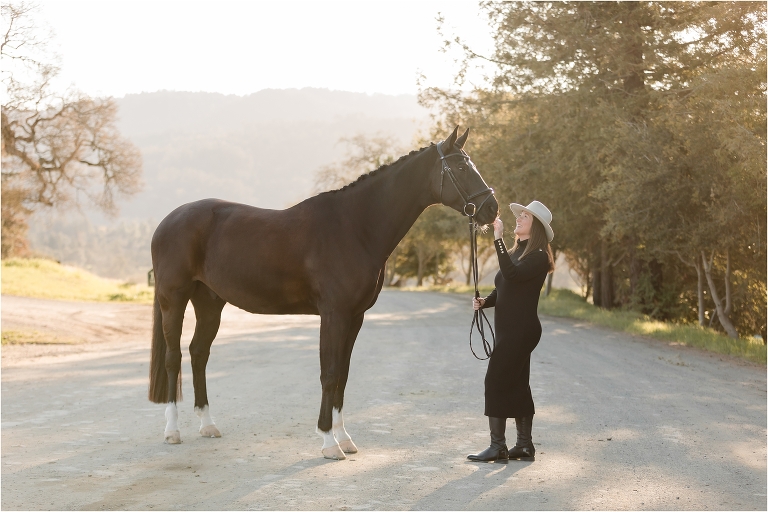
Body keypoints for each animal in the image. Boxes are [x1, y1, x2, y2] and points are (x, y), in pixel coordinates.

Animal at [147, 126, 498, 459]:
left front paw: (344, 438)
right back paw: (172, 431)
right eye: (461, 167)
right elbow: (329, 374)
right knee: (173, 358)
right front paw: (329, 443)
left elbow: (342, 375)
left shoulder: (354, 318)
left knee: (198, 354)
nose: (491, 209)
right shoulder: (334, 315)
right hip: (173, 299)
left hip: (209, 303)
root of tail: (167, 221)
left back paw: (207, 425)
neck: (355, 227)